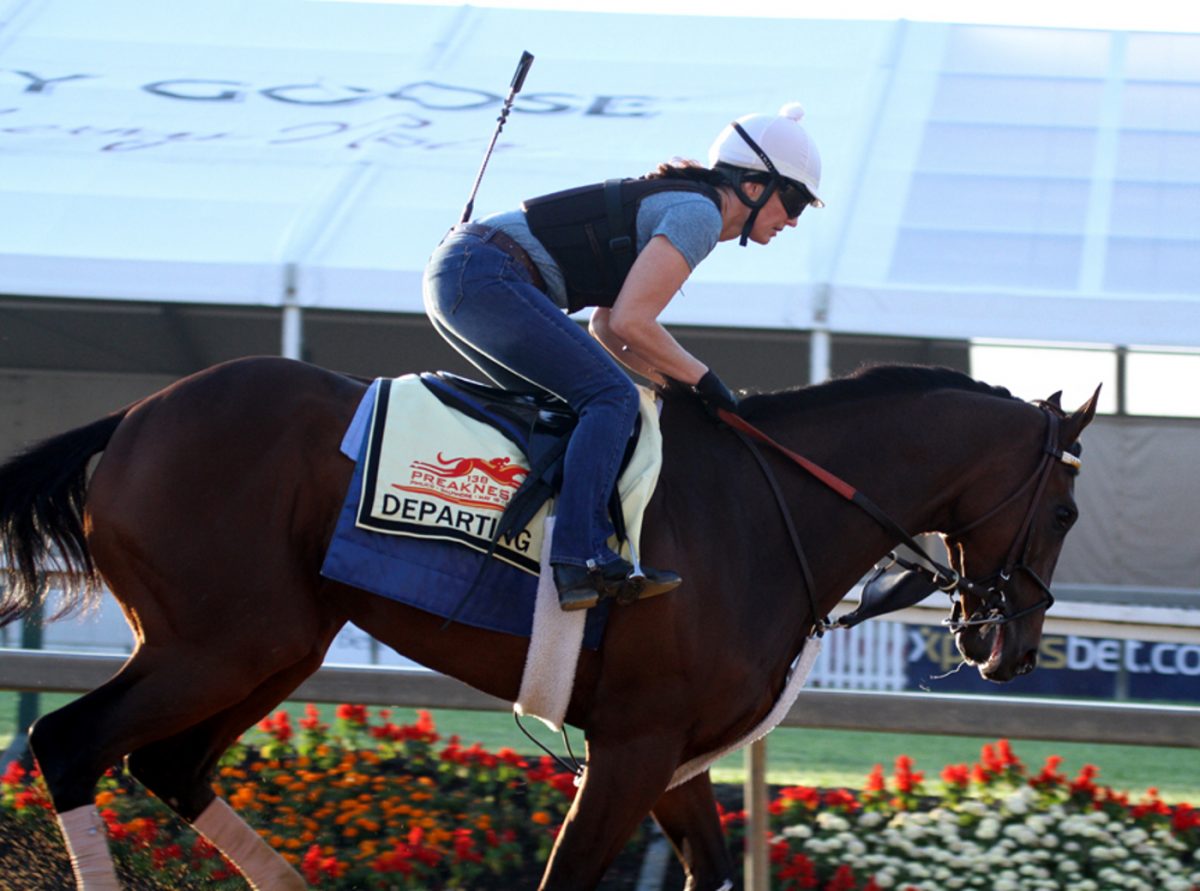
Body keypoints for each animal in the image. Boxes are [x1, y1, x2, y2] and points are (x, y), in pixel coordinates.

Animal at [0, 360, 1099, 888]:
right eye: (1063, 513)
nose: (1010, 646)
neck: (767, 505)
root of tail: (134, 419)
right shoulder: (631, 744)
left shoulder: (672, 751)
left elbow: (709, 871)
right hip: (218, 644)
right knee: (68, 742)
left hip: (271, 646)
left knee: (168, 765)